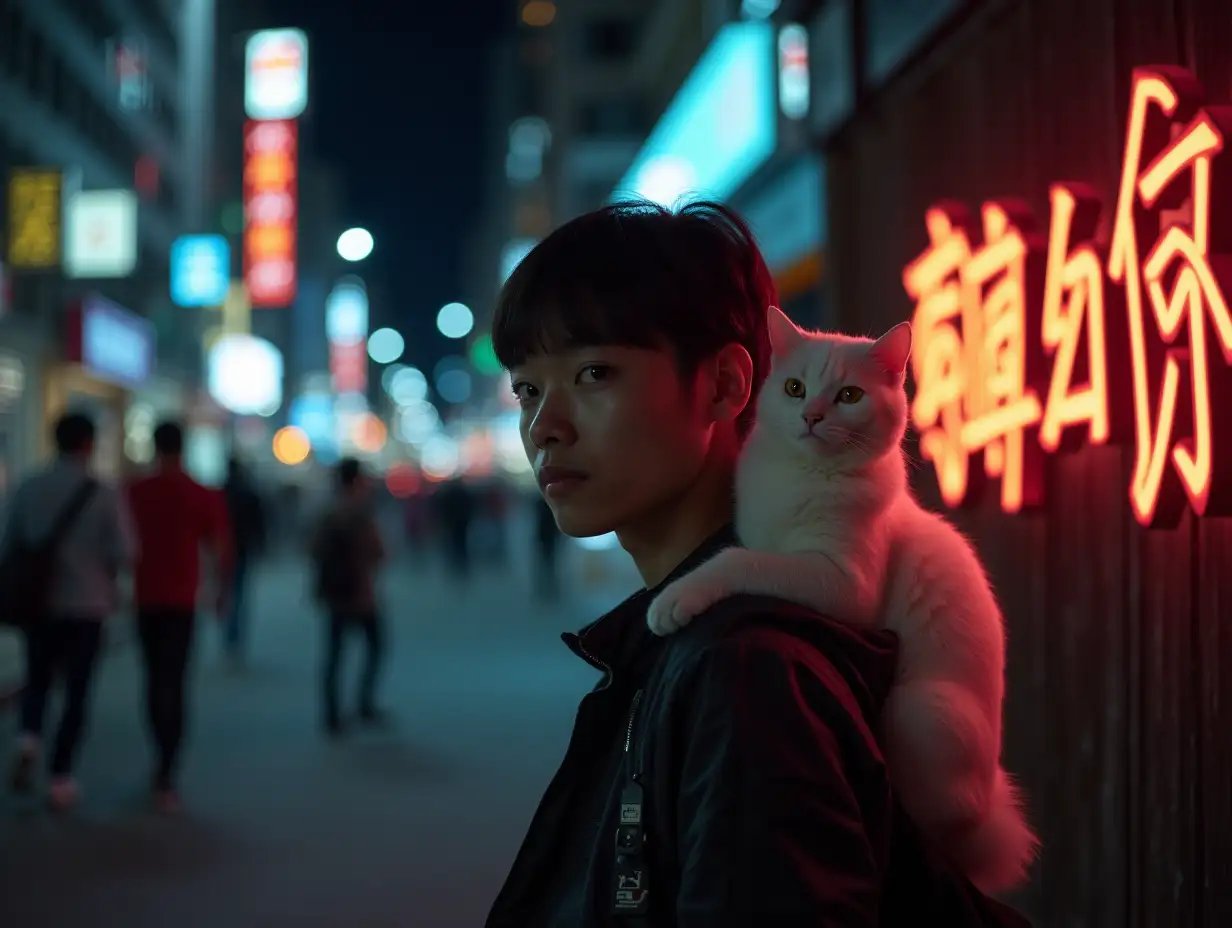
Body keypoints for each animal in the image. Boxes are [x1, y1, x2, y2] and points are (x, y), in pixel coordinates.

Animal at [645, 304, 1039, 892]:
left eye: (850, 396)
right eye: (794, 387)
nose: (811, 415)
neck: (803, 477)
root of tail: (992, 813)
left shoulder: (842, 583)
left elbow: (741, 562)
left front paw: (675, 599)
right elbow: (749, 552)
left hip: (917, 706)